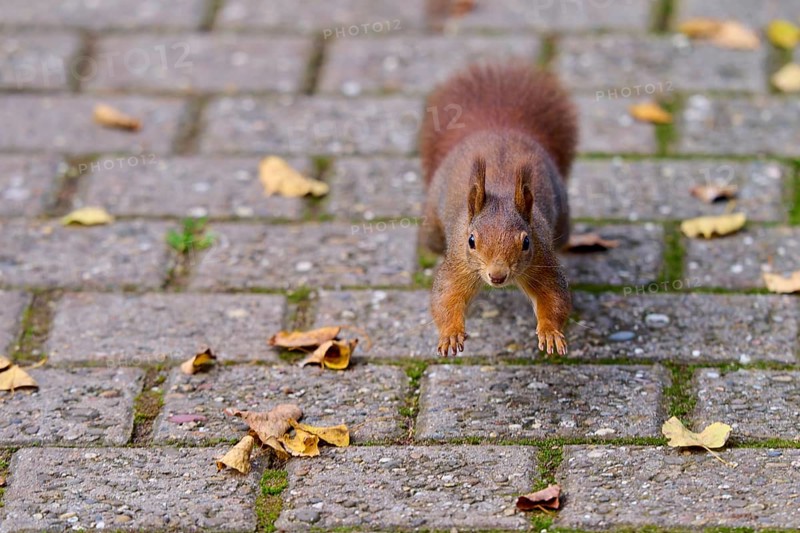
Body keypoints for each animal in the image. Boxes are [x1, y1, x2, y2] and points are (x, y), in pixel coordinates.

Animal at [419, 61, 578, 357]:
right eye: (471, 241)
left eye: (526, 242)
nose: (497, 276)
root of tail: (497, 128)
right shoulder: (458, 262)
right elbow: (446, 297)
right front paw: (450, 334)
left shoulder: (542, 259)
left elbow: (554, 297)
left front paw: (550, 332)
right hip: (433, 226)